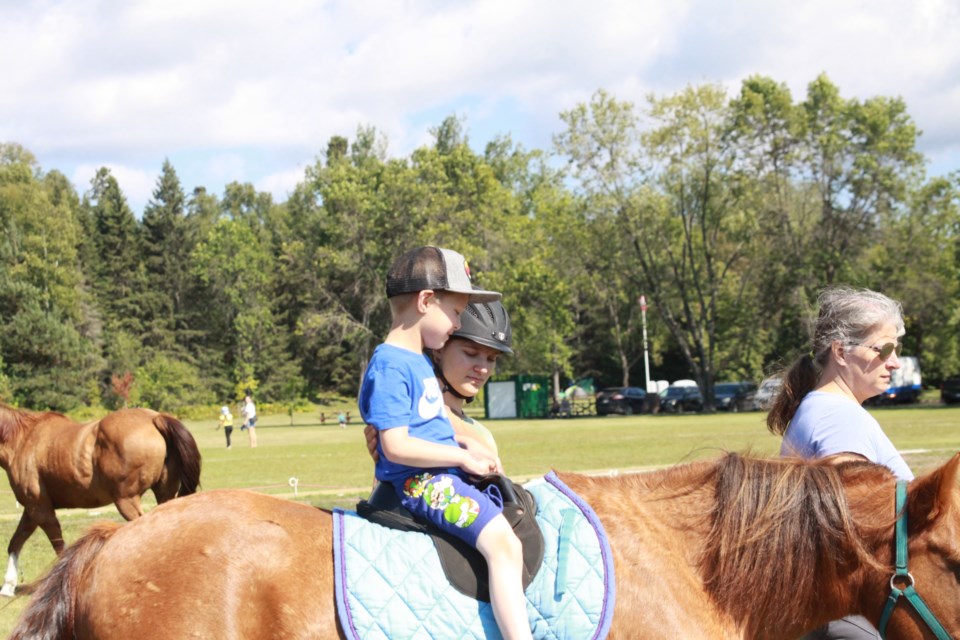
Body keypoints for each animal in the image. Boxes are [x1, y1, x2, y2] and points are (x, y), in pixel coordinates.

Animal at [0, 402, 201, 596]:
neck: (22, 439)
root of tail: (154, 418)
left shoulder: (39, 509)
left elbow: (59, 547)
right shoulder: (31, 510)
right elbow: (15, 543)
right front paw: (8, 587)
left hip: (126, 501)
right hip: (163, 496)